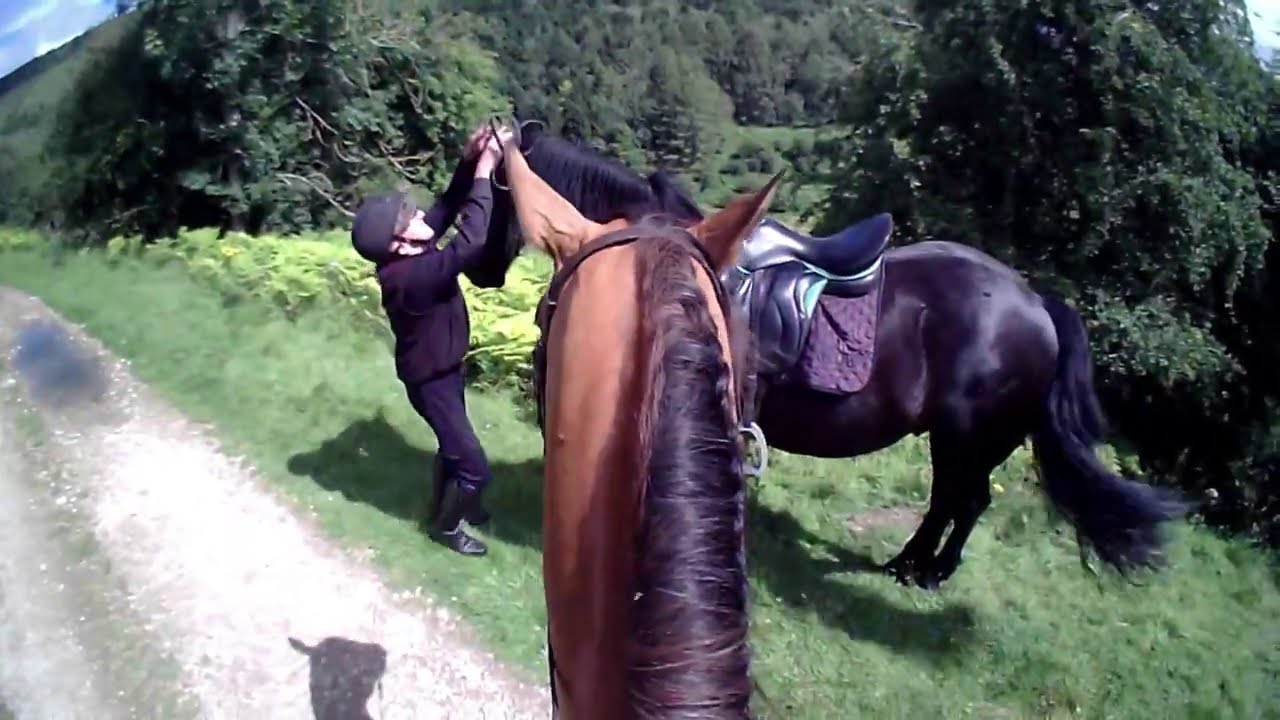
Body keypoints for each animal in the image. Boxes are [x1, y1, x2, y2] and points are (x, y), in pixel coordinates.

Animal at [478, 120, 1189, 591]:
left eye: (496, 189)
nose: (483, 269)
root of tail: (1038, 304)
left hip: (971, 436)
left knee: (965, 503)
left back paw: (929, 574)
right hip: (956, 438)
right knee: (950, 502)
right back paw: (908, 564)